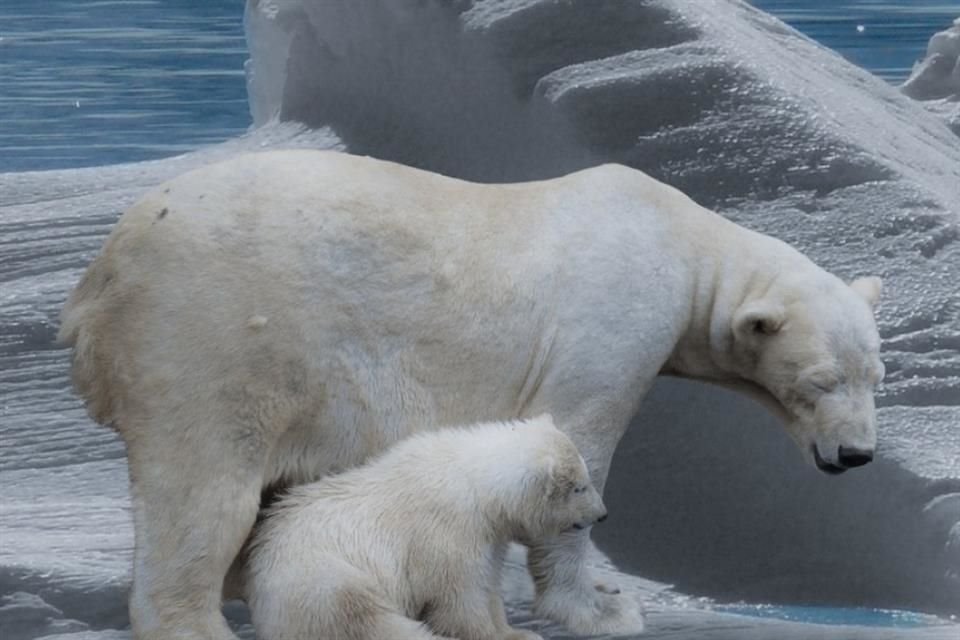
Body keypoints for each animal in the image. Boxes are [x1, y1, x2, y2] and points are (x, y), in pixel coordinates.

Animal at [58, 148, 884, 636]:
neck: (684, 244)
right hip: (212, 335)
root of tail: (98, 280)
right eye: (820, 383)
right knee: (207, 492)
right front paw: (602, 605)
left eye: (875, 378)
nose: (857, 455)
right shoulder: (609, 324)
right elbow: (580, 438)